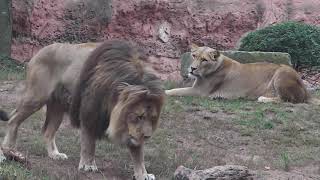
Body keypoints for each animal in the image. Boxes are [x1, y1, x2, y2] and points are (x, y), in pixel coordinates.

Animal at [3, 40, 165, 180]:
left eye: (152, 118)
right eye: (139, 116)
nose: (147, 136)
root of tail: (39, 52)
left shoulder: (132, 130)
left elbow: (139, 154)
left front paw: (143, 174)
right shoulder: (89, 112)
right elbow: (89, 143)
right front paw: (88, 165)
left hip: (57, 108)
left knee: (48, 132)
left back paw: (55, 154)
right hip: (36, 97)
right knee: (13, 120)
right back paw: (9, 149)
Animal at [166, 43, 318, 104]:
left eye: (204, 60)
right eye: (194, 56)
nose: (192, 69)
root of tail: (307, 91)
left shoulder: (199, 91)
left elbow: (177, 90)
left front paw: (165, 92)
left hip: (282, 72)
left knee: (290, 100)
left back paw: (263, 99)